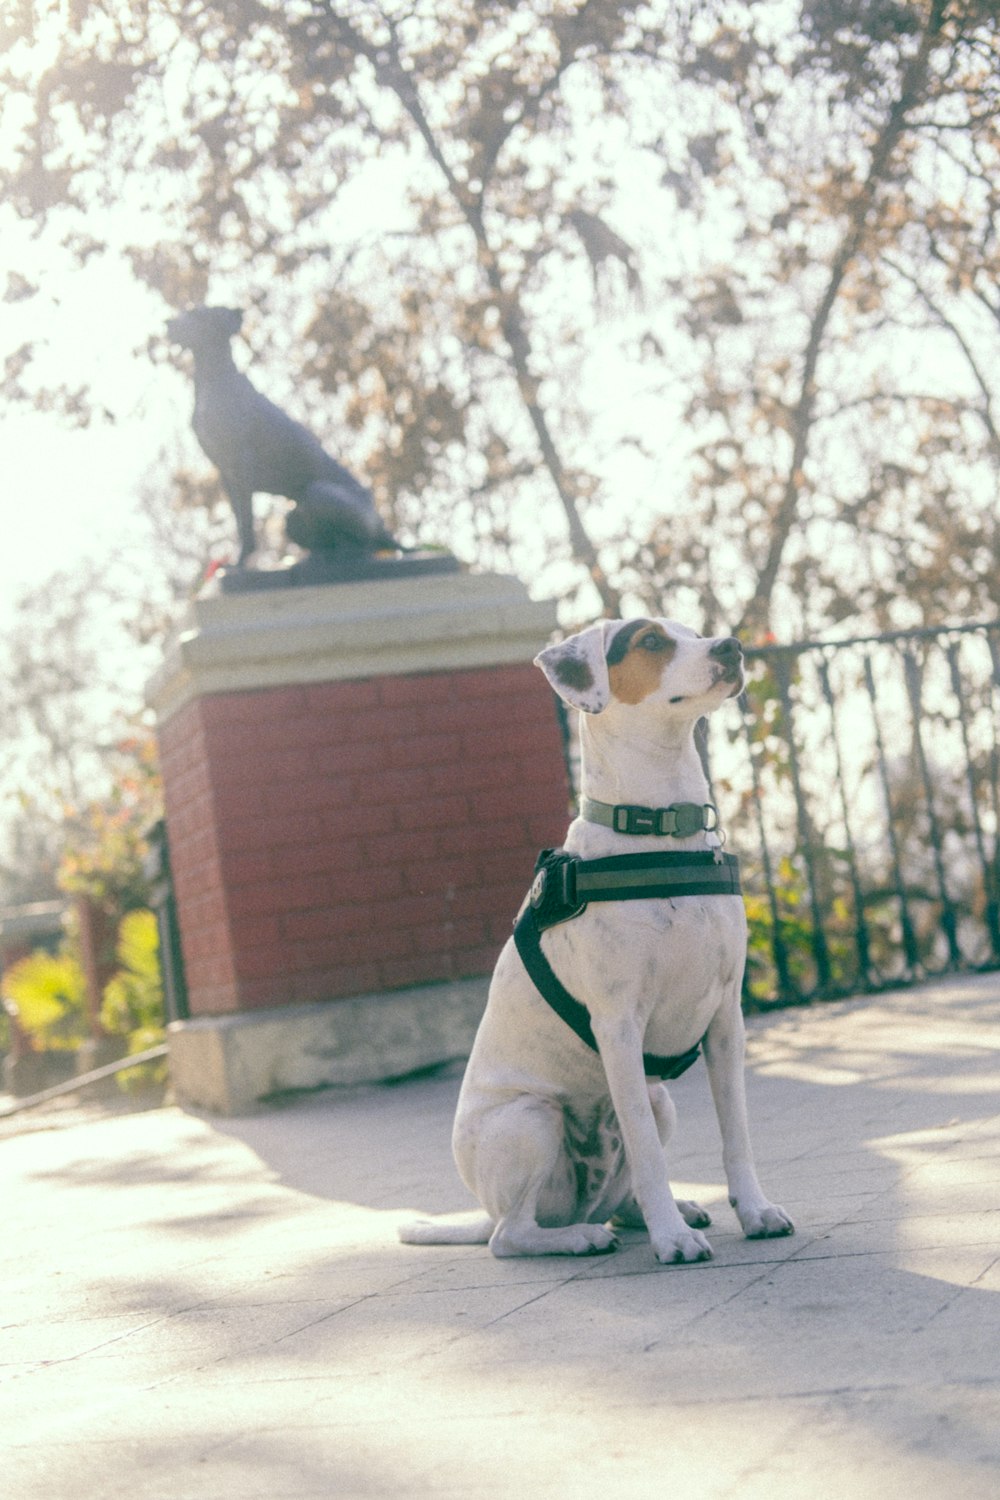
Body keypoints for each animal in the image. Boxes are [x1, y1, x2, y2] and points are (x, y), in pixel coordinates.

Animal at [401, 615, 791, 1260]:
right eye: (652, 640)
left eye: (692, 630)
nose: (731, 646)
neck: (662, 834)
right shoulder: (618, 1026)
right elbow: (650, 1153)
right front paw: (672, 1240)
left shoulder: (725, 1021)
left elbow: (736, 1135)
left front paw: (754, 1211)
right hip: (531, 1121)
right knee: (512, 1236)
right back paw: (583, 1236)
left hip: (660, 1101)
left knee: (617, 1199)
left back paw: (650, 1214)